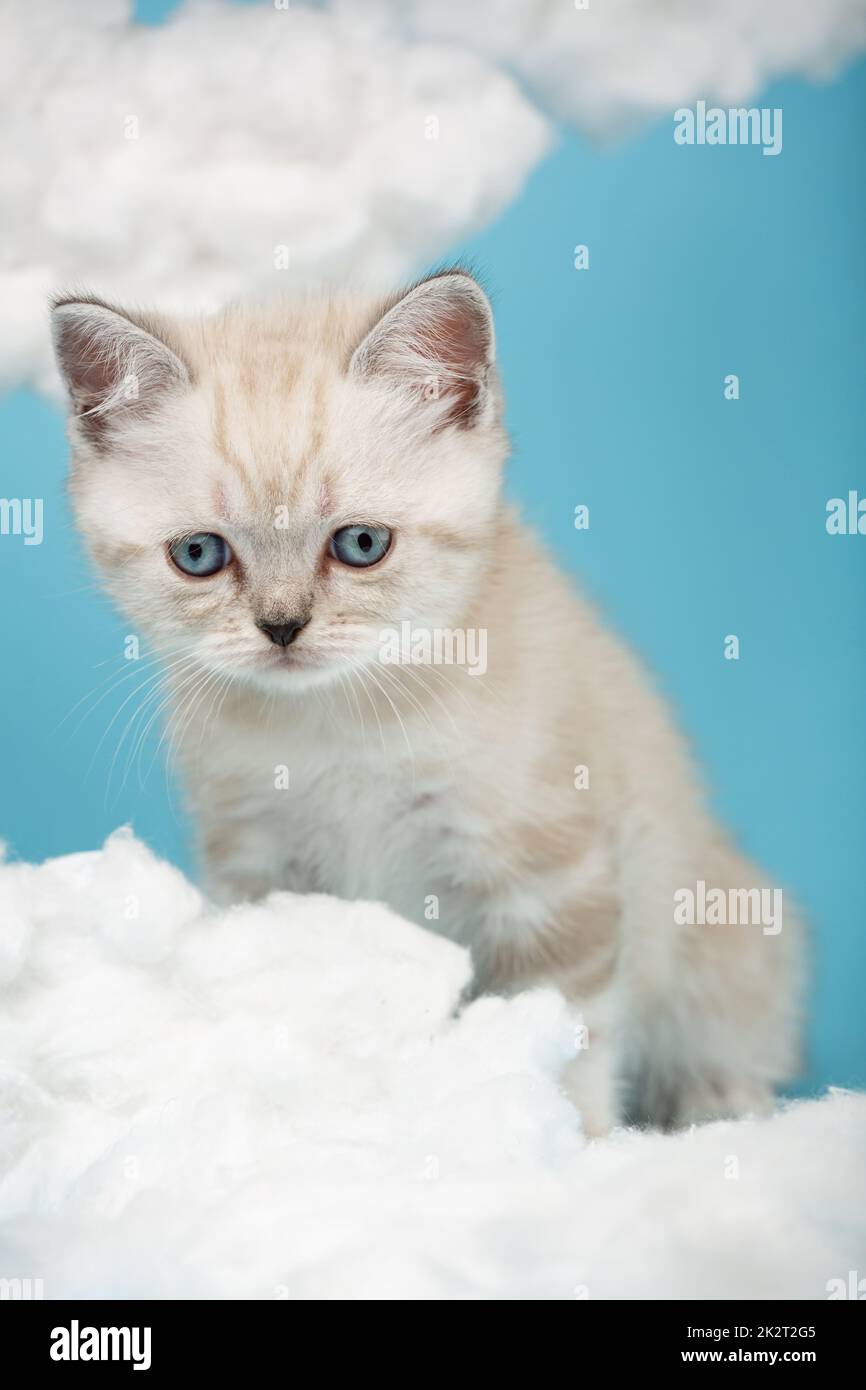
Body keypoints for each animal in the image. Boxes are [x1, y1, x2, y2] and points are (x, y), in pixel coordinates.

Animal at [50, 273, 800, 1139]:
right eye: (199, 555)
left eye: (361, 545)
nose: (282, 626)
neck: (339, 724)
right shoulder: (258, 863)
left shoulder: (550, 871)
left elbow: (566, 1031)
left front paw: (571, 1141)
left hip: (722, 928)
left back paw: (716, 1105)